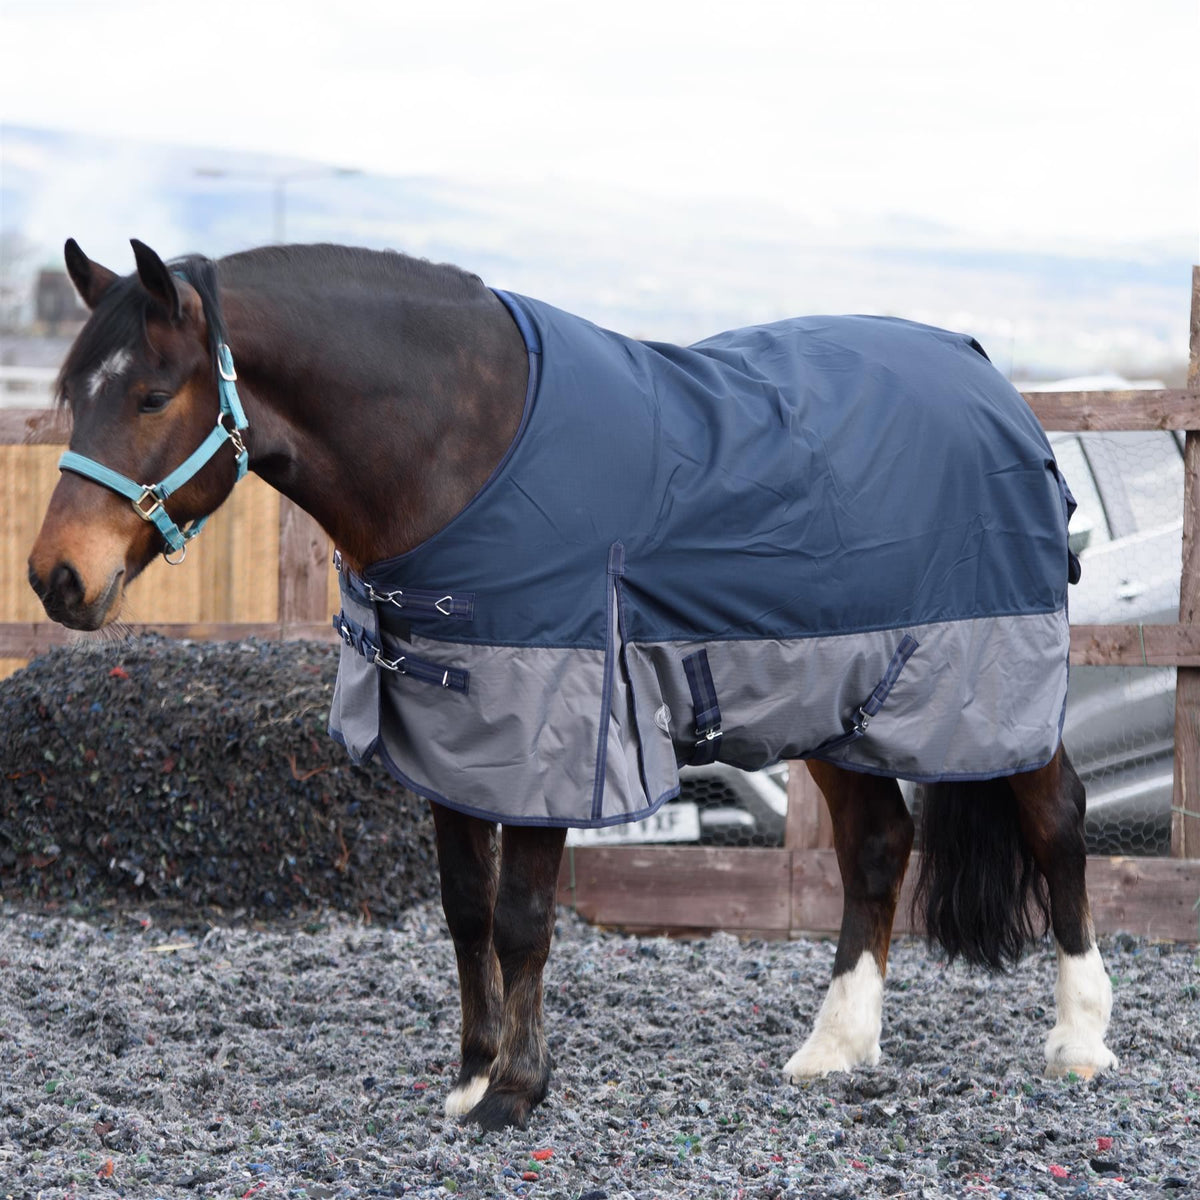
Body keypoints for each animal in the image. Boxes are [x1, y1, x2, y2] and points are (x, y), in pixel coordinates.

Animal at [28, 238, 1117, 1131]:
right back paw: (836, 1048)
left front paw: (515, 1090)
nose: (56, 578)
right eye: (76, 393)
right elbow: (465, 907)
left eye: (153, 396)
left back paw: (1080, 1041)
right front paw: (471, 1073)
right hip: (835, 693)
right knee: (880, 845)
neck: (460, 451)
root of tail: (989, 376)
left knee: (1055, 817)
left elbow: (522, 917)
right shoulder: (451, 730)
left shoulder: (554, 728)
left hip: (983, 687)